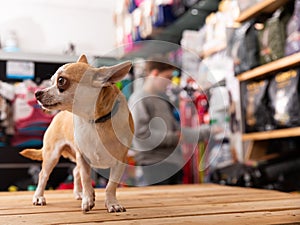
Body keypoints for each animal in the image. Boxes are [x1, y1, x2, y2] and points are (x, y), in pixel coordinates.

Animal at [21, 54, 134, 213]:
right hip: (52, 155)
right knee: (43, 175)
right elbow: (86, 179)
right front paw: (88, 199)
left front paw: (112, 203)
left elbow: (110, 185)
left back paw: (79, 193)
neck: (94, 122)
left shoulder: (120, 161)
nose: (37, 93)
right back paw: (39, 197)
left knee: (75, 172)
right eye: (51, 81)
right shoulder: (83, 157)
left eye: (61, 81)